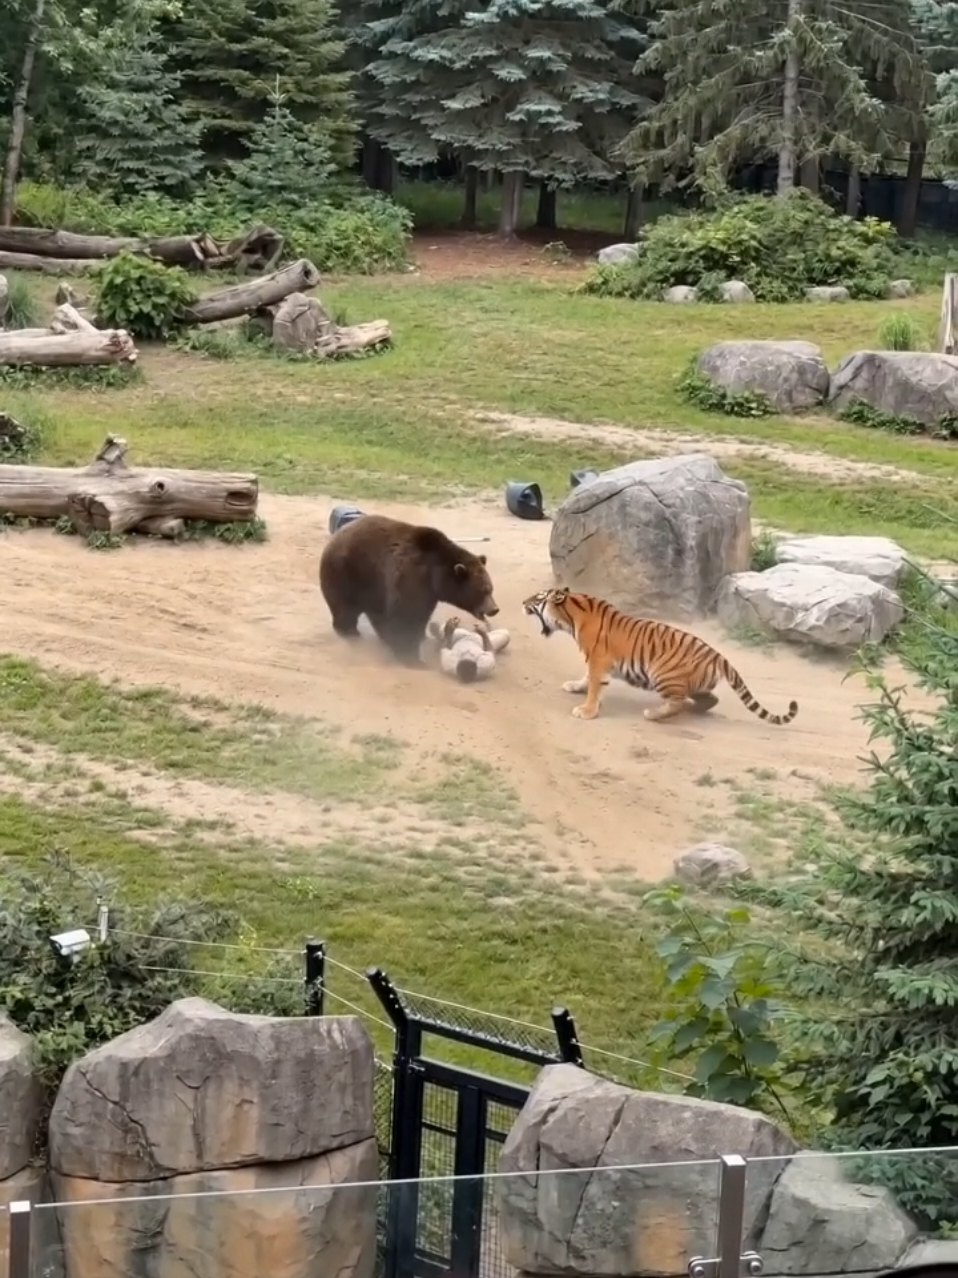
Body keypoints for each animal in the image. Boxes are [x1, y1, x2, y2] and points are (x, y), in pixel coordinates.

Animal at [318, 514, 500, 667]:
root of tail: (338, 533)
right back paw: (349, 630)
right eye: (483, 590)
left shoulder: (428, 592)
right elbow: (407, 615)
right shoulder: (412, 579)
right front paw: (412, 656)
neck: (435, 576)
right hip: (347, 571)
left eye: (491, 588)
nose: (494, 609)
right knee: (345, 606)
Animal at [522, 587, 798, 727]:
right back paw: (692, 708)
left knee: (677, 702)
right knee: (709, 699)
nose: (523, 602)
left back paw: (653, 714)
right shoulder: (595, 661)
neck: (572, 615)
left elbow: (594, 686)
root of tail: (718, 656)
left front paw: (586, 711)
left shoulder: (598, 660)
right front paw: (574, 687)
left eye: (537, 599)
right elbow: (586, 679)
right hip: (695, 684)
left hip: (662, 673)